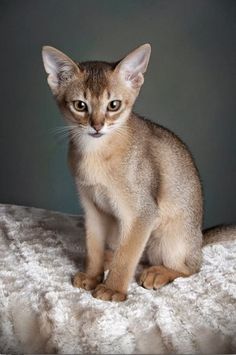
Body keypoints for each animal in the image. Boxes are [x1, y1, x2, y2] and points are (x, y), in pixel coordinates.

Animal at [42, 43, 234, 302]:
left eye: (113, 105)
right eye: (80, 105)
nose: (97, 125)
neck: (95, 154)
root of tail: (198, 240)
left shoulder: (142, 213)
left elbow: (127, 258)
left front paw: (113, 289)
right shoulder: (92, 209)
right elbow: (93, 247)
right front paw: (92, 276)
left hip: (169, 239)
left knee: (189, 268)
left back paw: (158, 273)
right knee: (136, 255)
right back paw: (108, 260)